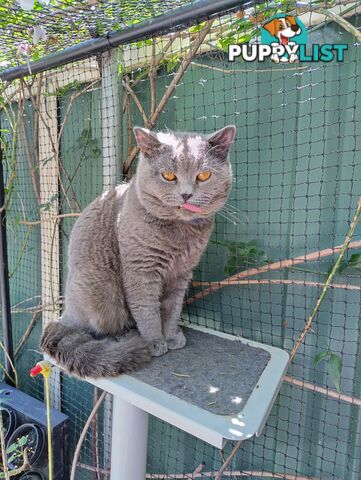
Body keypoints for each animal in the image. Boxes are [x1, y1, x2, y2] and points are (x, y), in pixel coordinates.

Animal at [40, 126, 235, 378]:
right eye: (168, 176)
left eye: (203, 176)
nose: (186, 194)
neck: (179, 236)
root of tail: (65, 315)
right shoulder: (141, 270)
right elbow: (146, 309)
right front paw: (154, 342)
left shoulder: (182, 274)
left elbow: (172, 309)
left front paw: (171, 336)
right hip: (102, 290)